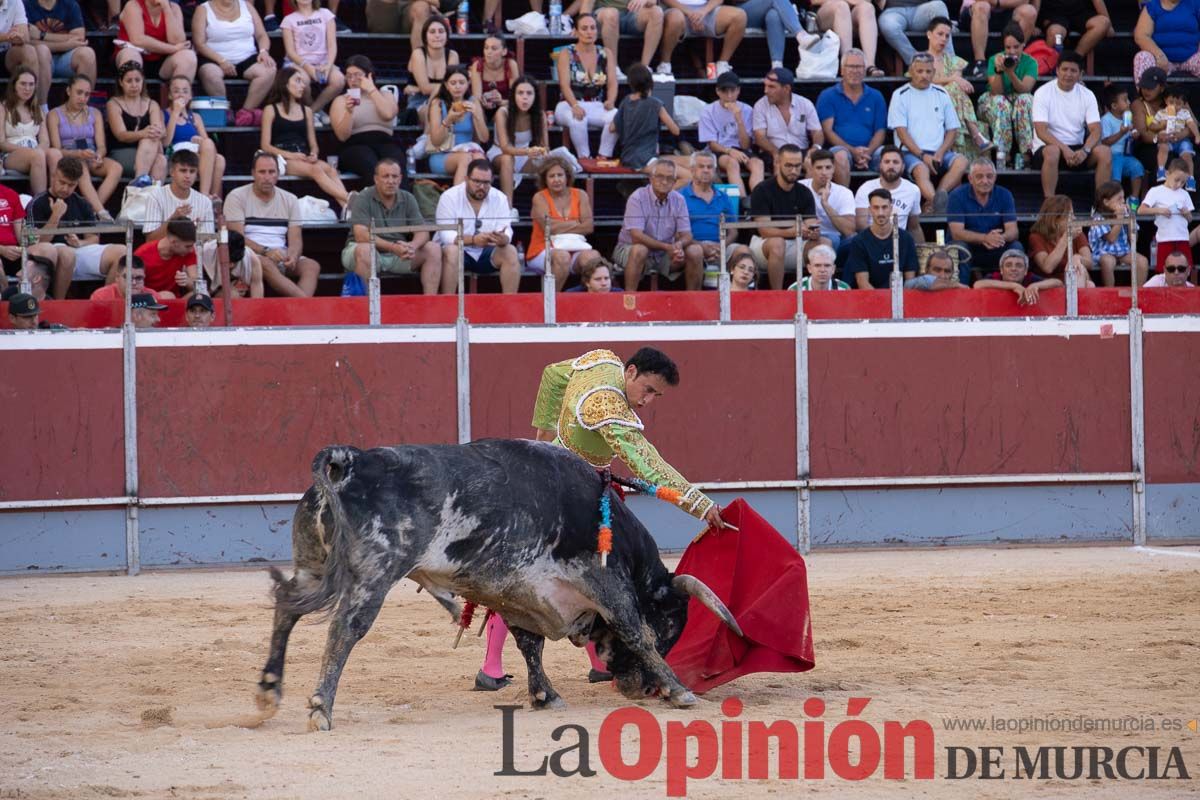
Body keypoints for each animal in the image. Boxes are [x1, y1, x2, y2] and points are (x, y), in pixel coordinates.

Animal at [254, 438, 739, 734]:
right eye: (672, 624)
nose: (639, 690)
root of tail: (352, 460)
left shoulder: (516, 594)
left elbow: (529, 645)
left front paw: (545, 695)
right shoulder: (607, 583)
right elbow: (636, 633)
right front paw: (680, 691)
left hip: (313, 566)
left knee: (287, 606)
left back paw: (268, 690)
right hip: (373, 575)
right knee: (345, 629)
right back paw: (320, 708)